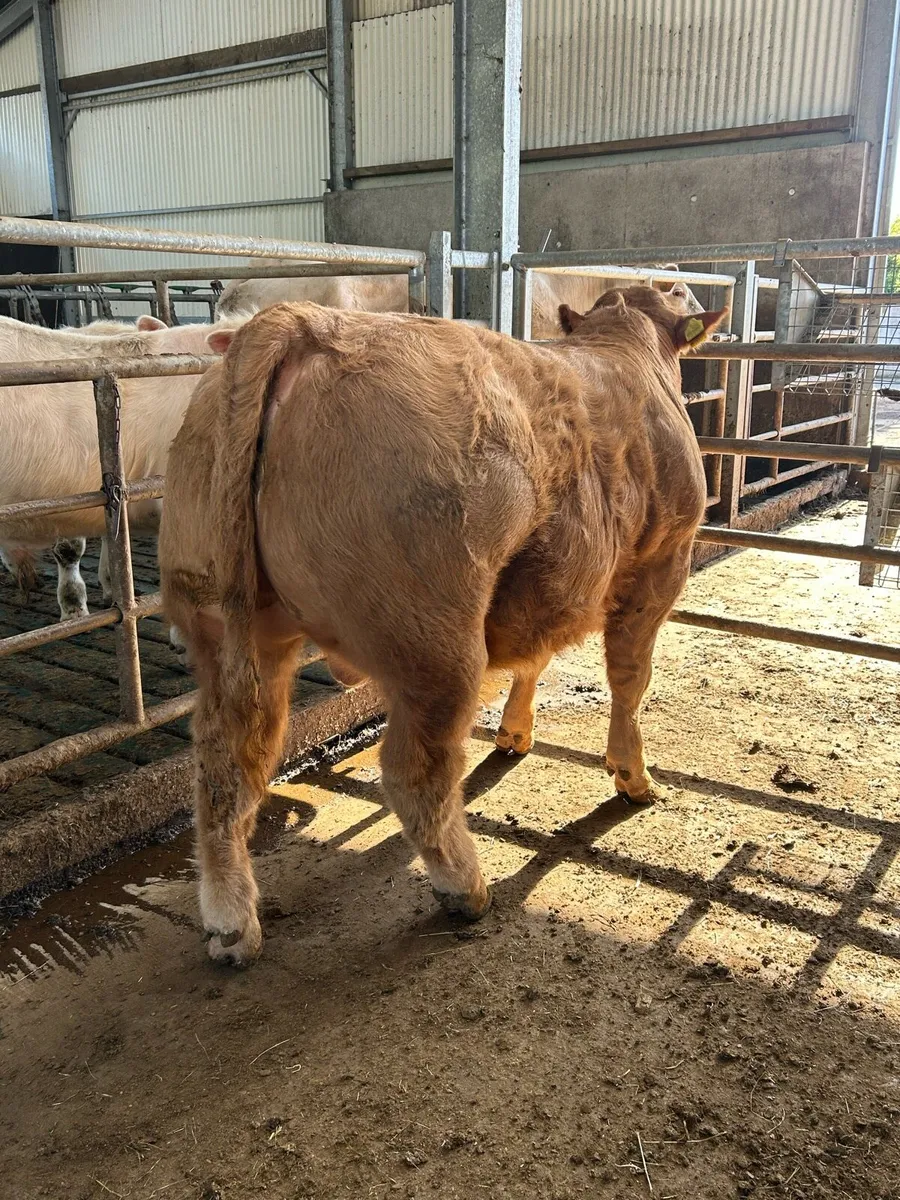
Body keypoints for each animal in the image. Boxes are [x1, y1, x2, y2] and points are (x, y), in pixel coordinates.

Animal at [159, 287, 724, 965]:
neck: (623, 345)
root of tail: (301, 322)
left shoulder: (545, 588)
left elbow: (535, 657)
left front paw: (515, 733)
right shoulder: (661, 563)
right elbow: (630, 679)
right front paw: (634, 777)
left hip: (225, 623)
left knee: (226, 765)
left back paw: (231, 925)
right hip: (436, 641)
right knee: (414, 769)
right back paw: (466, 888)